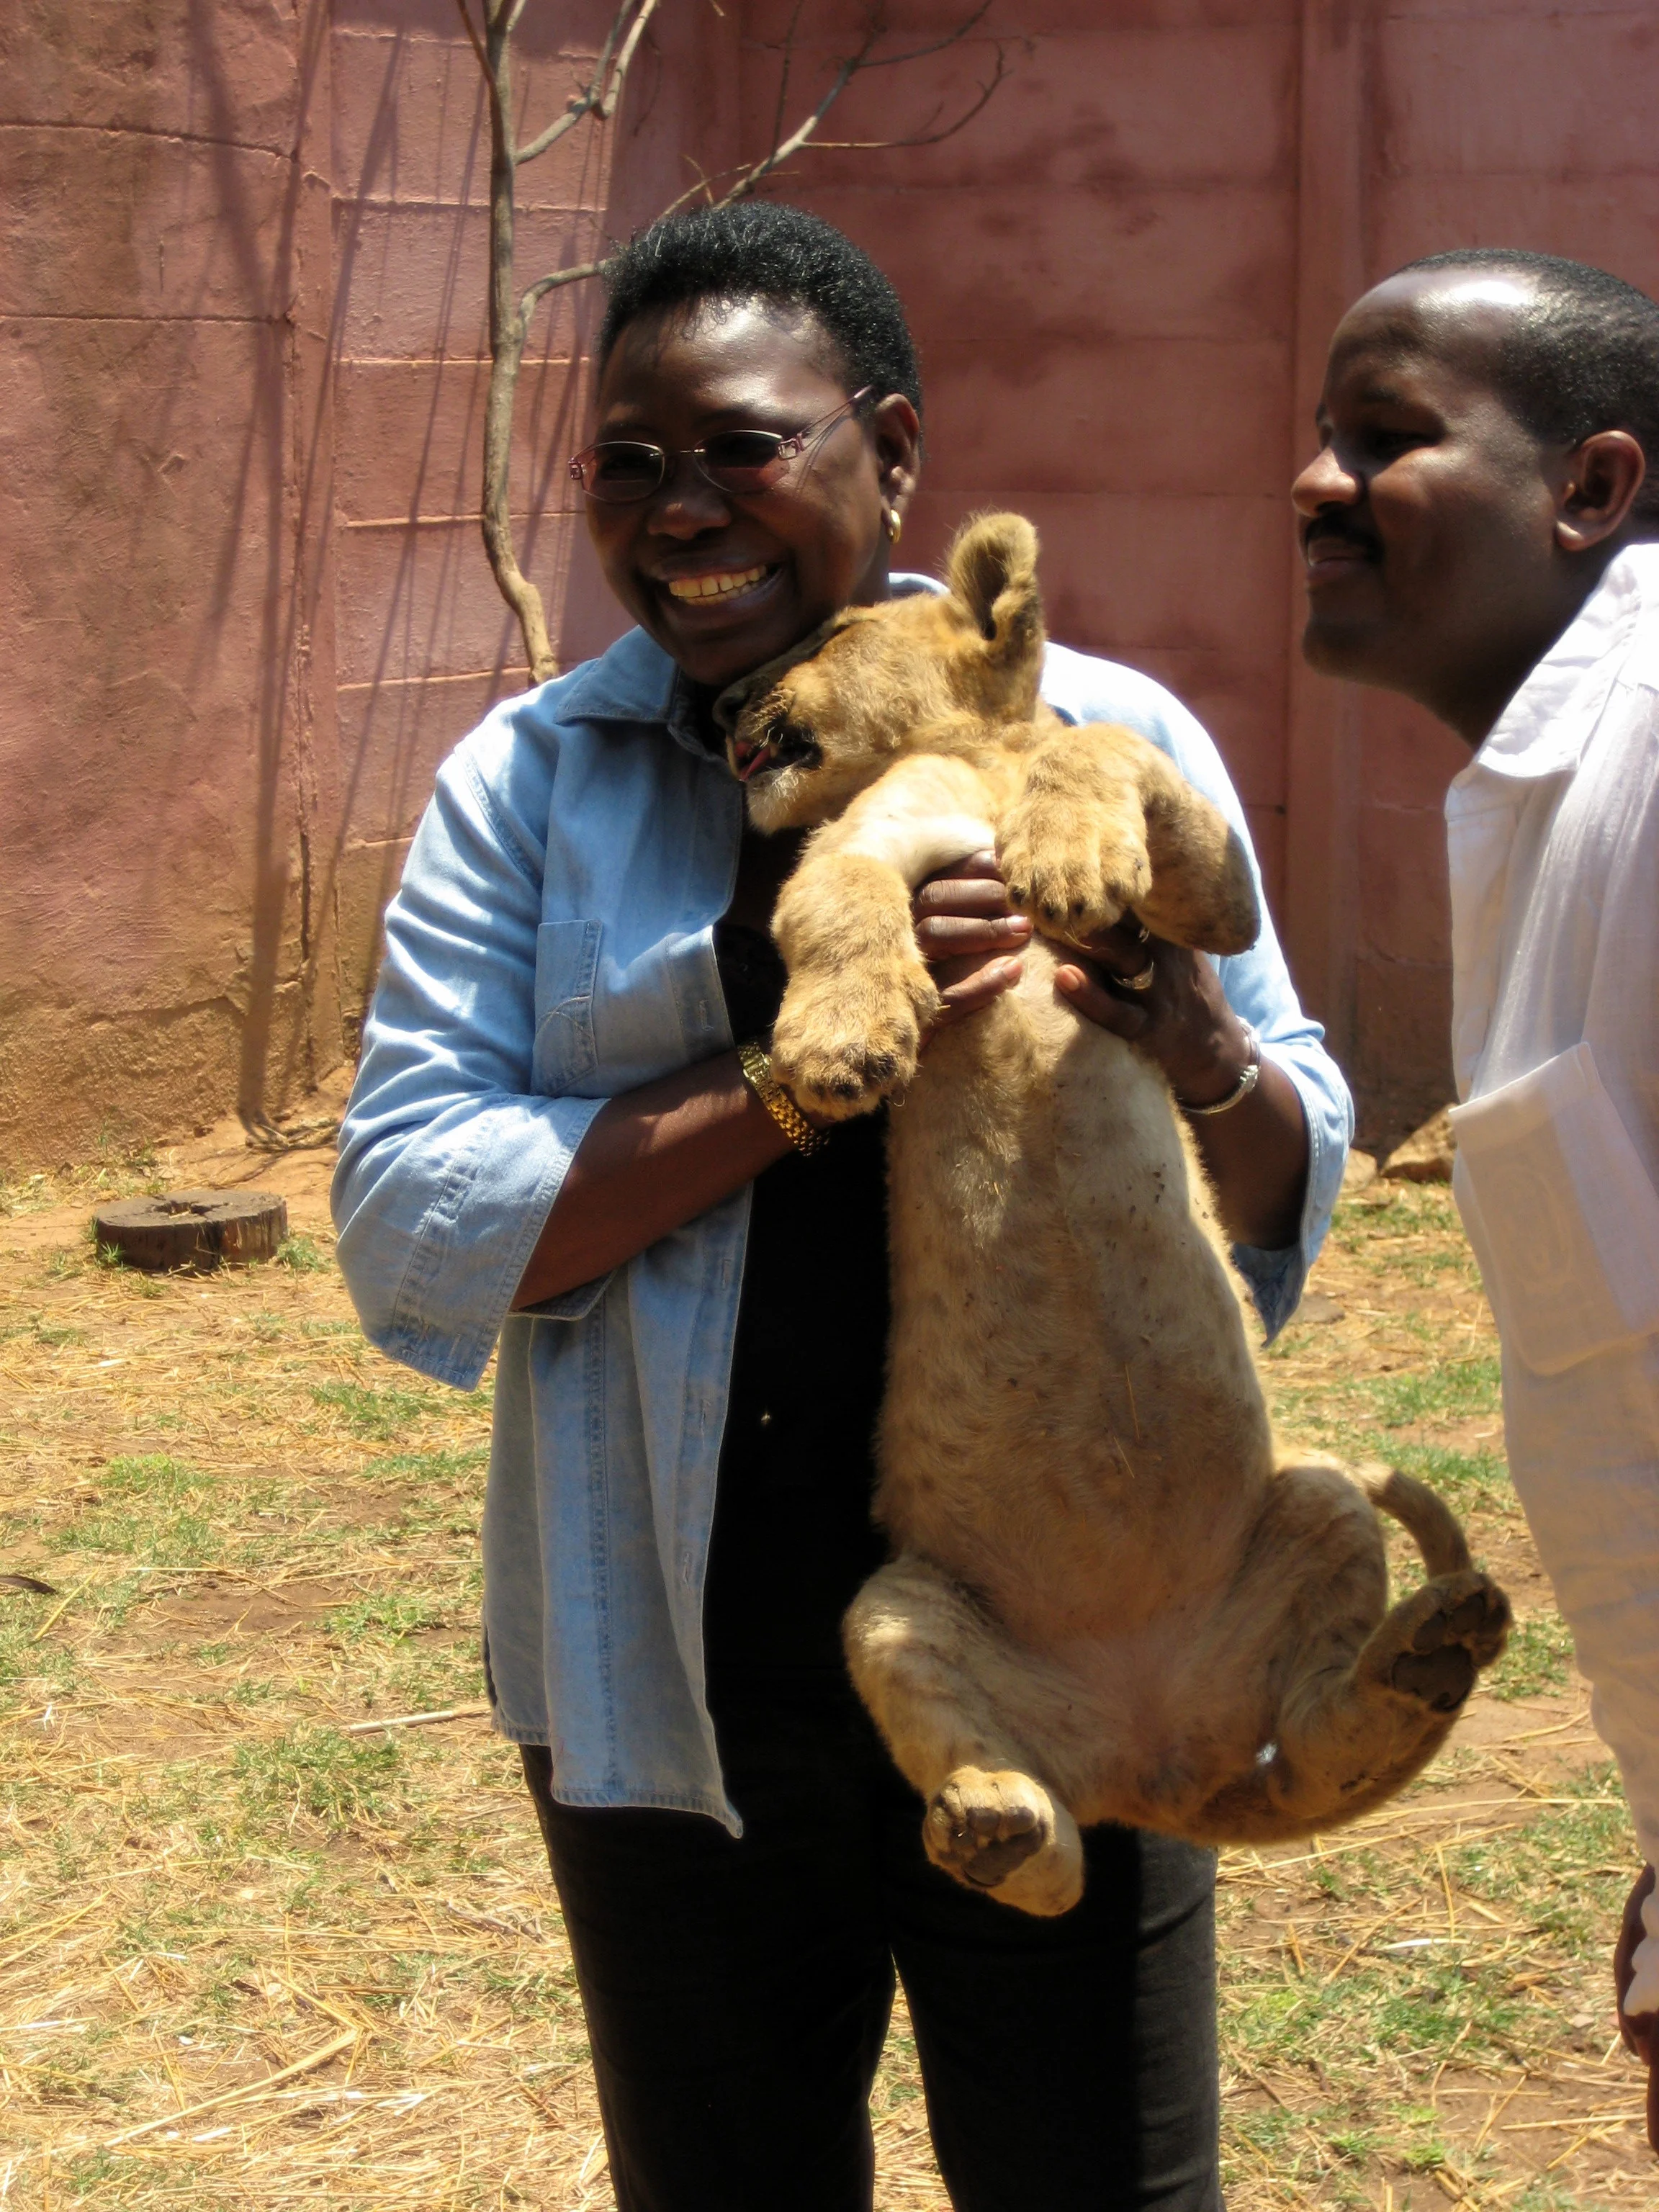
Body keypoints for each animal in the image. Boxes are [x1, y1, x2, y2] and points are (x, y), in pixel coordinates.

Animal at [715, 511, 1510, 1917]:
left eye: (831, 631)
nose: (715, 704)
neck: (982, 765)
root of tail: (1159, 1766)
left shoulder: (1212, 900)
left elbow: (1108, 751)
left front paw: (1072, 855)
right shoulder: (867, 842)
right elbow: (844, 901)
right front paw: (842, 1046)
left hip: (1314, 1503)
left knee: (1315, 1732)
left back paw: (1423, 1655)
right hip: (896, 1611)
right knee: (1051, 1856)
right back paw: (993, 1820)